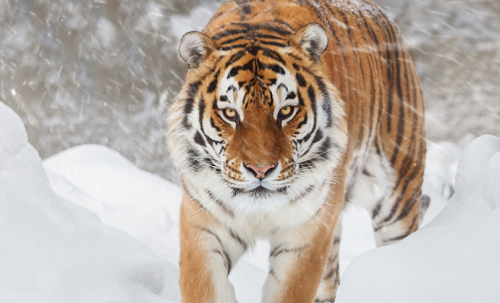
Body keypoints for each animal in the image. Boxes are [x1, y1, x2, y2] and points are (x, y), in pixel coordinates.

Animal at [167, 0, 426, 302]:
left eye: (286, 111)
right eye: (230, 114)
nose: (260, 170)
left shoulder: (308, 233)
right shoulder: (203, 223)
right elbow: (205, 288)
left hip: (398, 199)